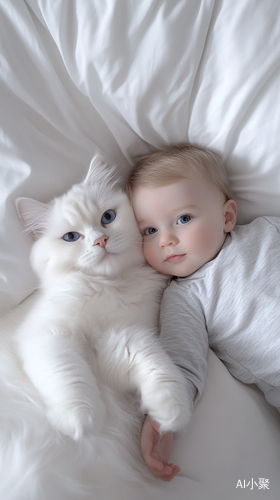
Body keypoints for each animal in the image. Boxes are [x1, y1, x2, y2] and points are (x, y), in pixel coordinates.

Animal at [15, 157, 190, 442]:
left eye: (107, 217)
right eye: (71, 237)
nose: (101, 240)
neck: (107, 287)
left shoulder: (124, 336)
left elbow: (158, 367)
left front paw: (170, 412)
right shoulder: (48, 336)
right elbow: (70, 377)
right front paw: (82, 422)